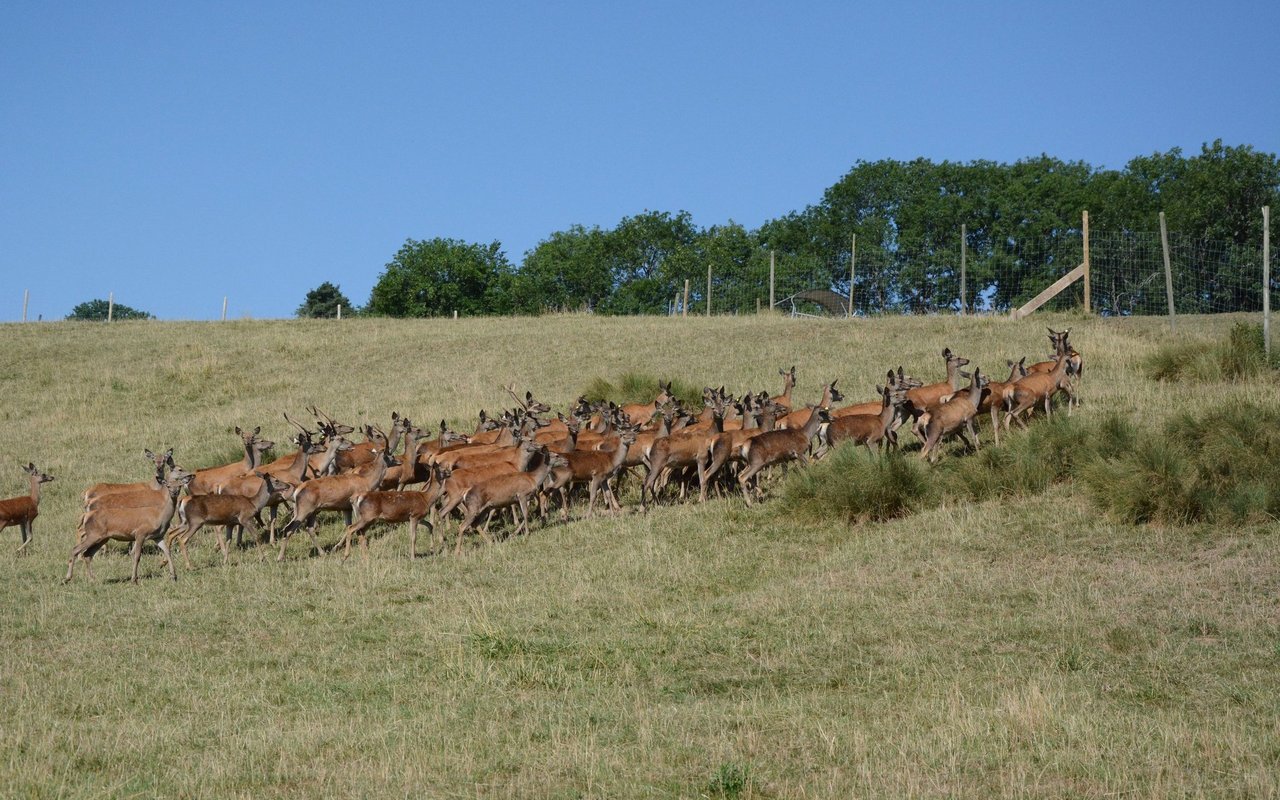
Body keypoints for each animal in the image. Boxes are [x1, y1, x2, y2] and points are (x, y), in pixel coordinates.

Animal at [64, 471, 193, 583]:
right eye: (168, 485)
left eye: (179, 485)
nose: (174, 493)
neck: (159, 516)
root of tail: (86, 515)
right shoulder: (140, 533)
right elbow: (136, 555)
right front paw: (134, 579)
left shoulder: (157, 536)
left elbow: (167, 551)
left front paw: (173, 576)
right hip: (94, 534)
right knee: (75, 549)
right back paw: (67, 578)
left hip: (102, 538)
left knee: (88, 554)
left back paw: (92, 579)